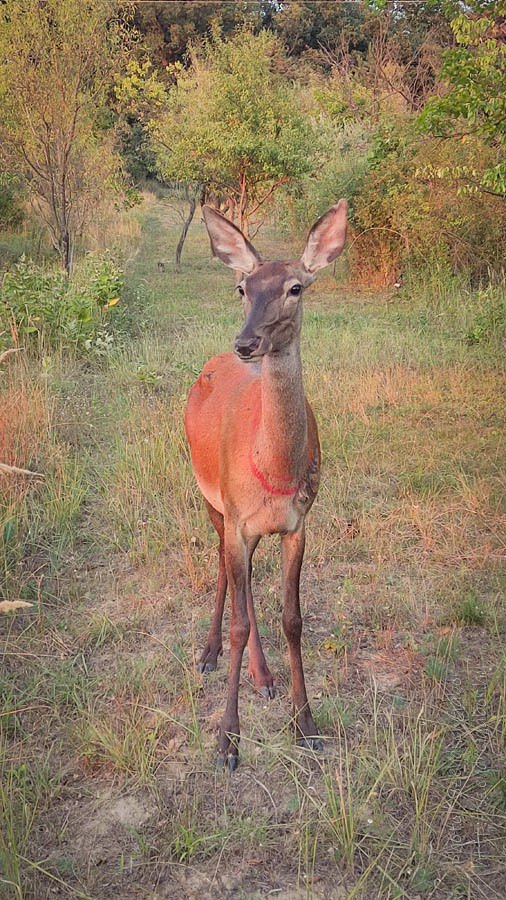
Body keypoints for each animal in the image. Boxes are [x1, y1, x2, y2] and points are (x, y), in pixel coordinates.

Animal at [185, 200, 348, 770]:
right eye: (242, 287)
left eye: (295, 287)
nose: (246, 342)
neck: (274, 472)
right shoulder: (237, 517)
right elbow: (240, 619)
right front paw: (227, 741)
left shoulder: (298, 523)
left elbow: (292, 619)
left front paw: (306, 723)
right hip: (208, 496)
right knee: (223, 566)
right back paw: (210, 652)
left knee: (243, 581)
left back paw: (264, 676)